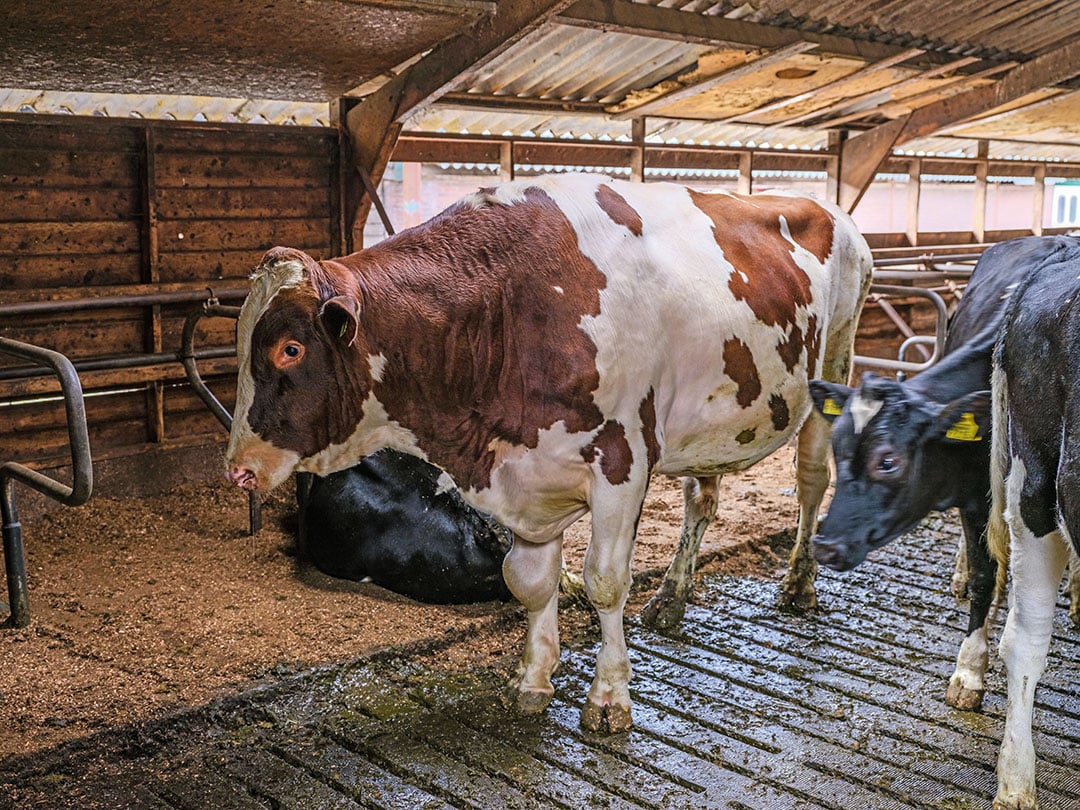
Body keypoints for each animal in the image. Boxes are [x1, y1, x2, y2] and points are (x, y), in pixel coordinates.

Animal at [812, 234, 1080, 708]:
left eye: (887, 461)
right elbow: (983, 574)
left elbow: (992, 572)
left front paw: (970, 667)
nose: (824, 547)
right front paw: (971, 665)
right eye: (837, 448)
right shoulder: (975, 497)